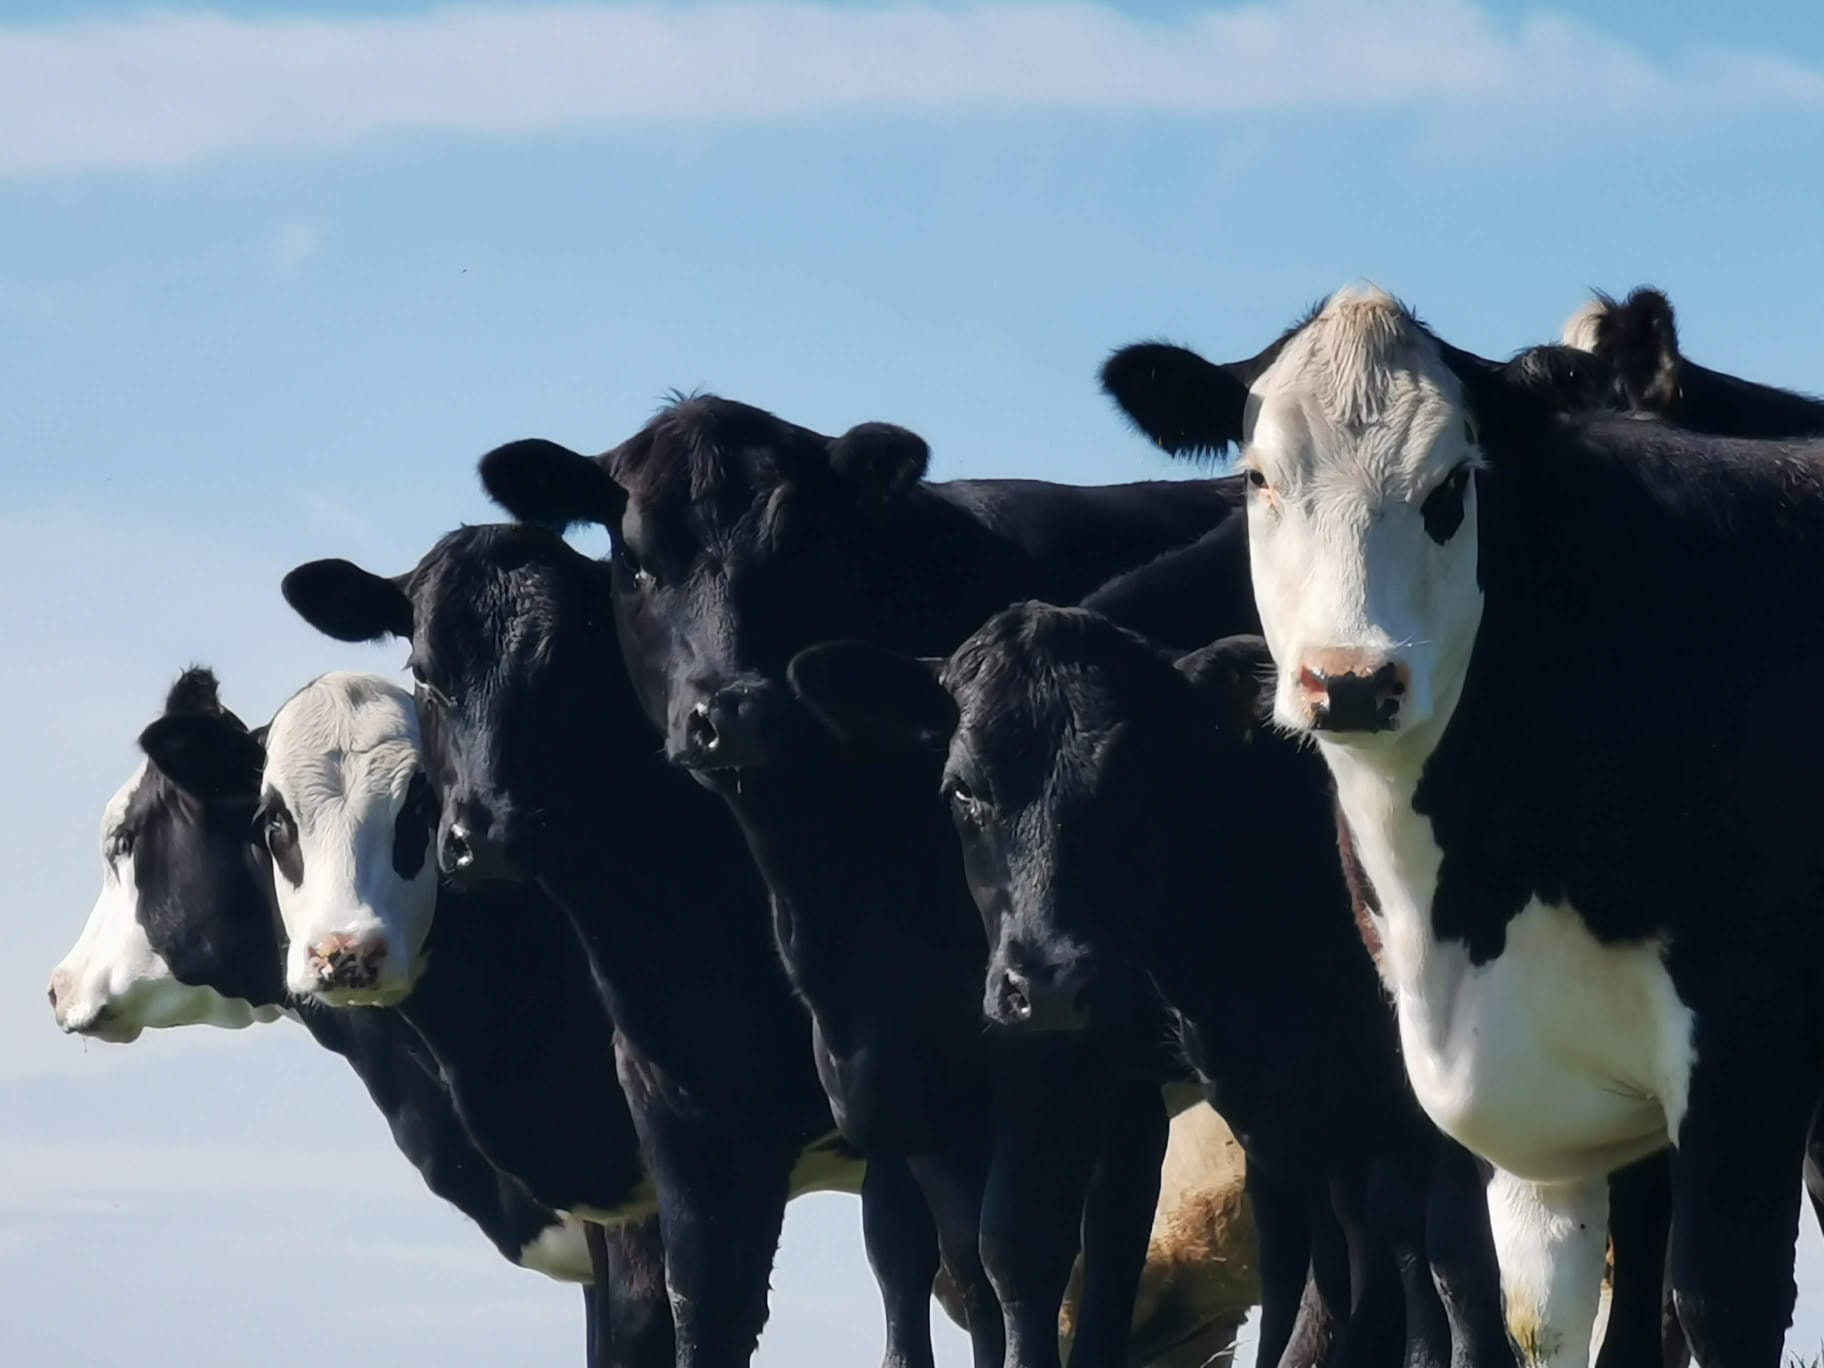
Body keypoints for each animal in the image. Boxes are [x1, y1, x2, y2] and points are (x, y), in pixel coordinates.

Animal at [472, 397, 1244, 1368]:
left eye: (799, 551)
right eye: (637, 563)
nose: (733, 712)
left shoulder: (1042, 1045)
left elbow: (1019, 1258)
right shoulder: (880, 1083)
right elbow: (944, 1270)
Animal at [1099, 283, 1824, 1368]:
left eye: (1450, 489)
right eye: (1260, 478)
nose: (1352, 681)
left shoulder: (1749, 1045)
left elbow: (1713, 1299)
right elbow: (1512, 1305)